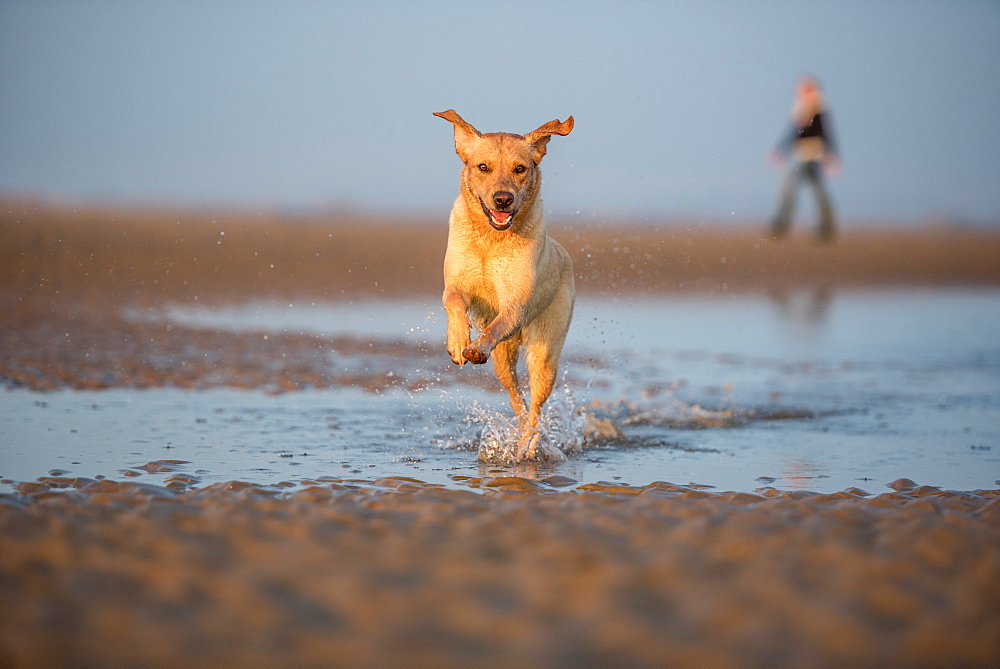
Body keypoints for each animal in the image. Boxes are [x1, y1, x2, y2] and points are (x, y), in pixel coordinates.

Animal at [432, 109, 580, 462]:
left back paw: (528, 447)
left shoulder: (515, 304)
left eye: (520, 168)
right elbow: (454, 303)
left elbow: (495, 326)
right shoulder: (456, 284)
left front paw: (475, 346)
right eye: (483, 167)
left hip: (545, 352)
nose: (503, 199)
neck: (491, 238)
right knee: (516, 398)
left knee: (536, 408)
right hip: (504, 361)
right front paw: (458, 342)